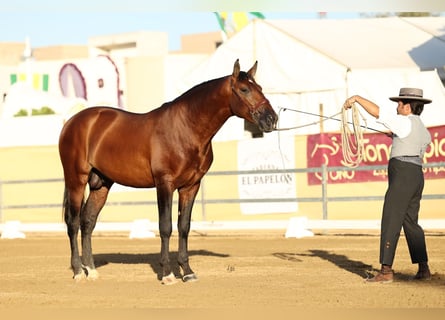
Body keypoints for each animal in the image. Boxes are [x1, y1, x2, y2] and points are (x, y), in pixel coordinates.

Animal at [59, 58, 278, 284]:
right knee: (73, 223)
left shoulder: (190, 186)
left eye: (260, 88)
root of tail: (72, 122)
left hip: (101, 184)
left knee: (88, 222)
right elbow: (165, 227)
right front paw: (167, 274)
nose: (271, 119)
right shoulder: (165, 184)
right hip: (76, 180)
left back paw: (91, 270)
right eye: (244, 89)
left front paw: (187, 271)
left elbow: (184, 227)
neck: (185, 128)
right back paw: (78, 271)